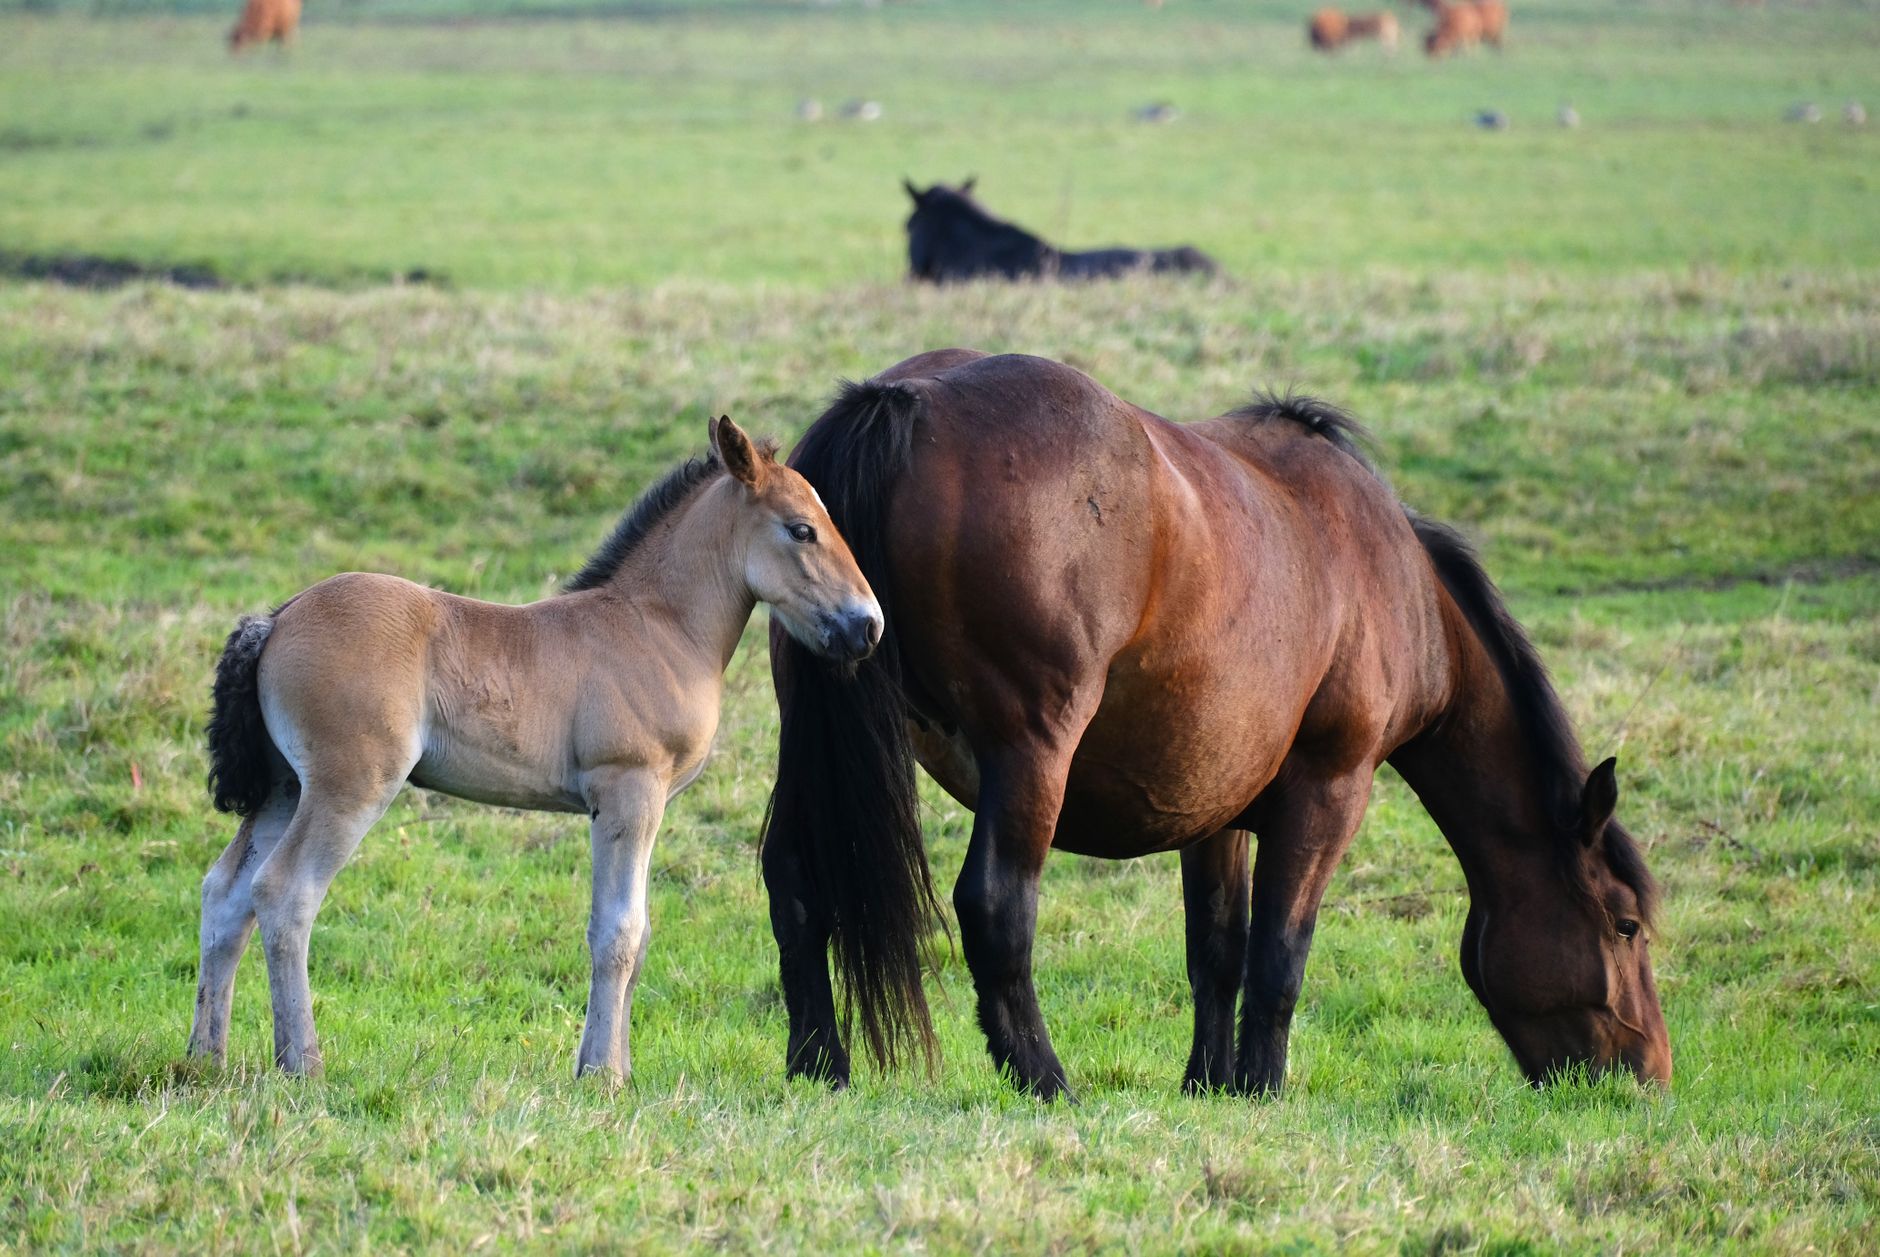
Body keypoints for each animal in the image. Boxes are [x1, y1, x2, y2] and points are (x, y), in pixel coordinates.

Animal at [188, 417, 882, 1080]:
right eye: (801, 530)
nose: (868, 625)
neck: (658, 625)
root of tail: (276, 619)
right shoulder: (628, 790)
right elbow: (618, 933)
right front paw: (600, 1074)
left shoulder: (644, 802)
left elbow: (639, 933)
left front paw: (617, 1068)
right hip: (349, 784)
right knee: (286, 894)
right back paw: (301, 1062)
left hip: (286, 788)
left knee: (227, 894)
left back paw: (206, 1058)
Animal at [761, 351, 1670, 1101]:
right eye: (1624, 924)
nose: (1651, 1074)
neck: (1398, 584)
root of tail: (906, 399)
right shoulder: (1328, 792)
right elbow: (1280, 953)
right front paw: (1262, 1087)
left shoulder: (1215, 809)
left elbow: (1219, 950)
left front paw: (1210, 1082)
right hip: (1031, 756)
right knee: (996, 906)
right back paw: (1046, 1079)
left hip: (818, 745)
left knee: (795, 880)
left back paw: (819, 1064)